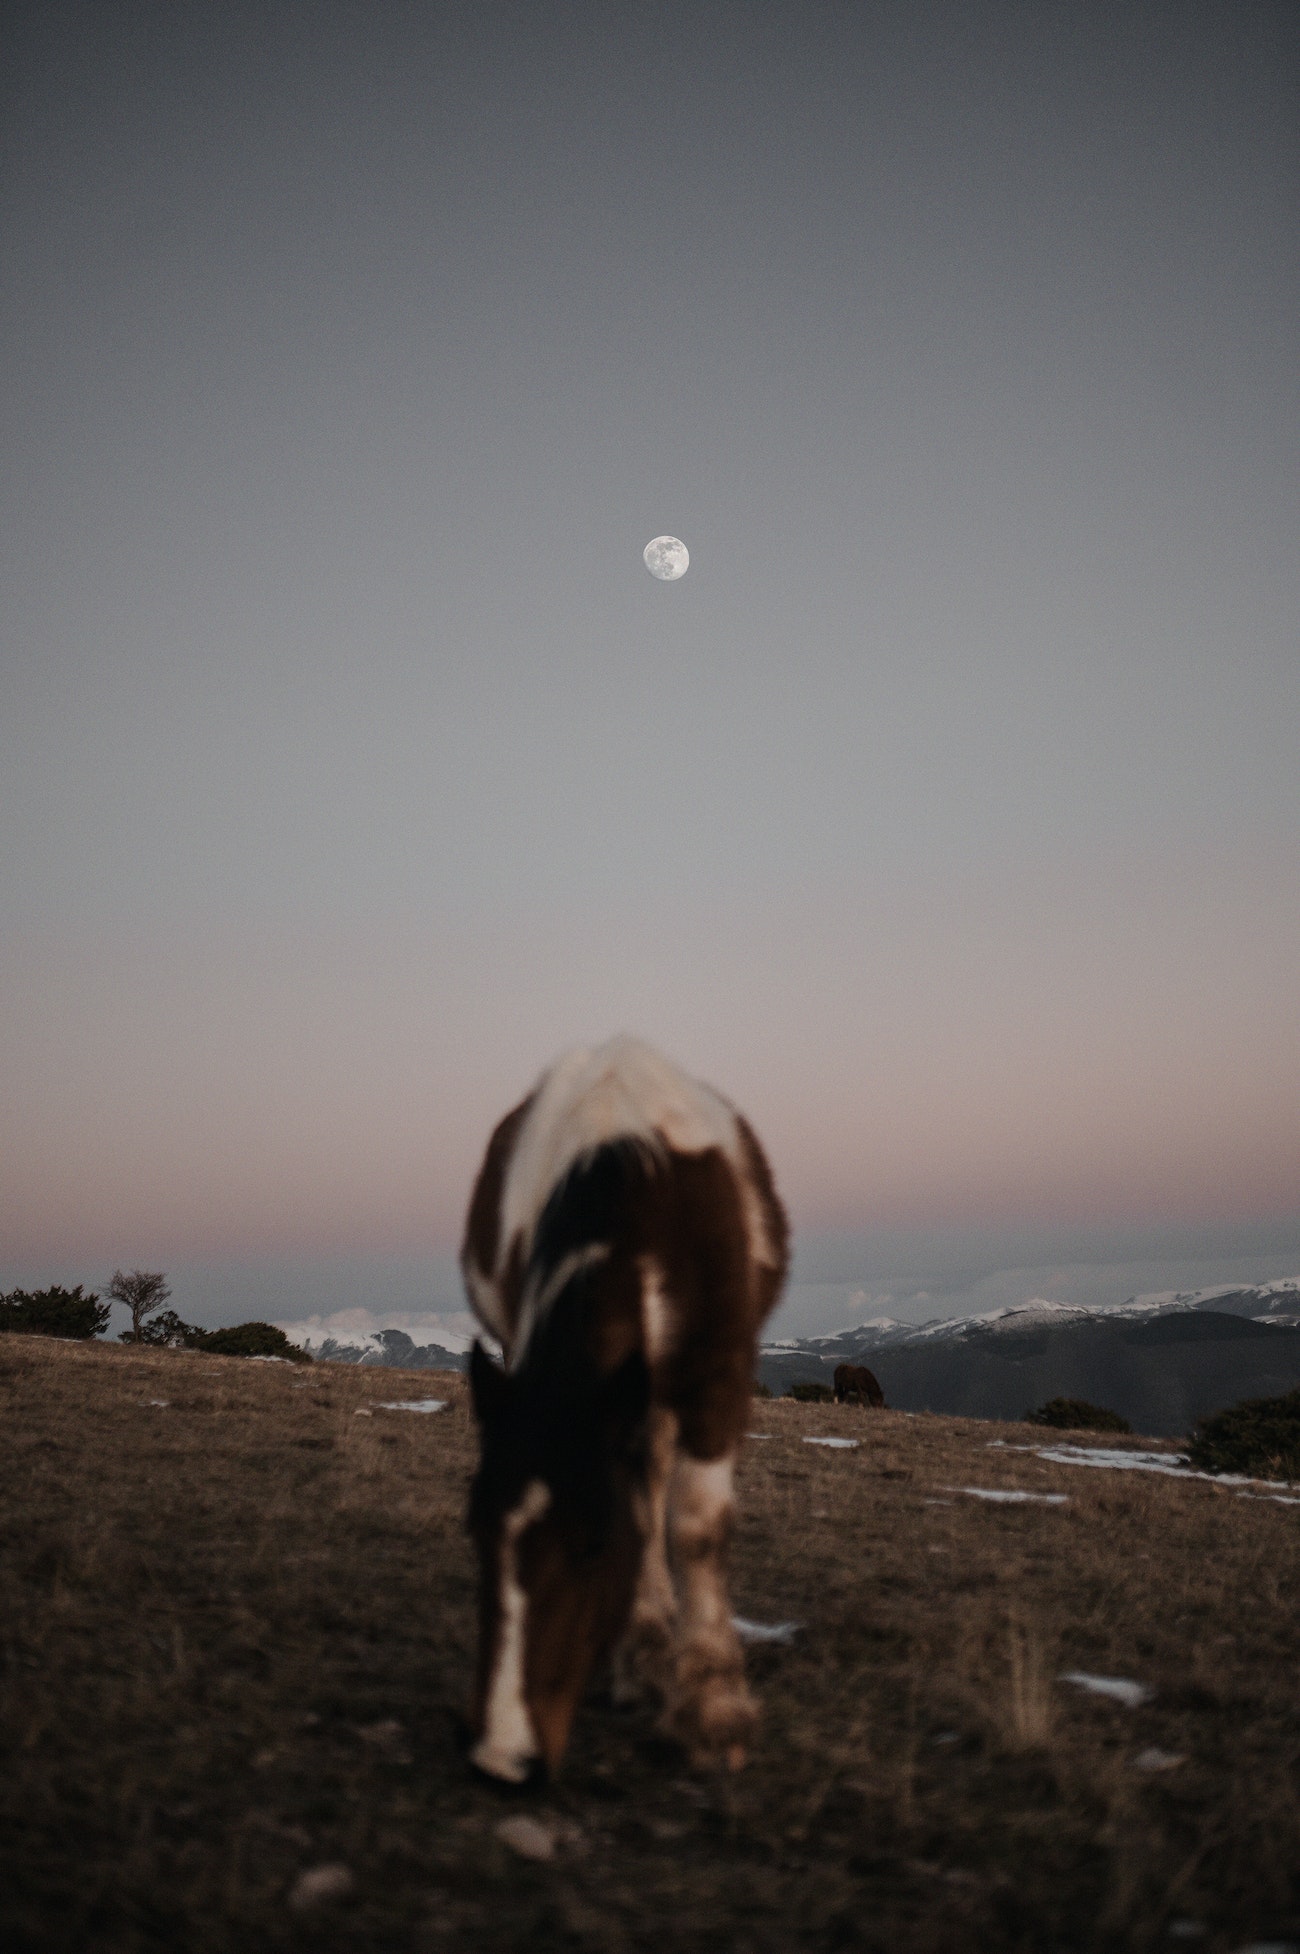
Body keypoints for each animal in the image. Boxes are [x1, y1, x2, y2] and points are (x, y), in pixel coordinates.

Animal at [461, 1039, 785, 1789]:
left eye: (590, 1544)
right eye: (474, 1528)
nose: (503, 1758)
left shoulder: (719, 1376)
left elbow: (696, 1529)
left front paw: (715, 1711)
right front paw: (644, 1660)